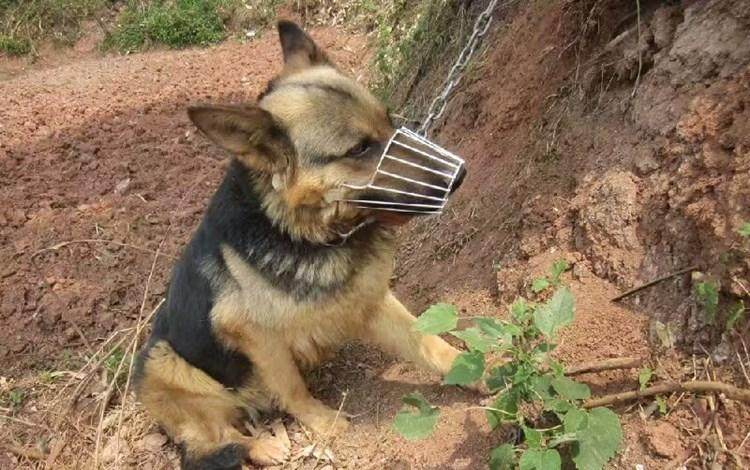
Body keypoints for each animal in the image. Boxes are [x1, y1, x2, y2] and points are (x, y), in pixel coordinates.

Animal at [135, 20, 468, 469]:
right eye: (359, 148)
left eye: (389, 121)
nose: (460, 177)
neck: (300, 231)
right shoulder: (254, 335)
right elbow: (291, 386)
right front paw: (322, 422)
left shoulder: (372, 299)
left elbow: (429, 342)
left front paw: (482, 367)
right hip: (164, 361)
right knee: (214, 439)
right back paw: (266, 446)